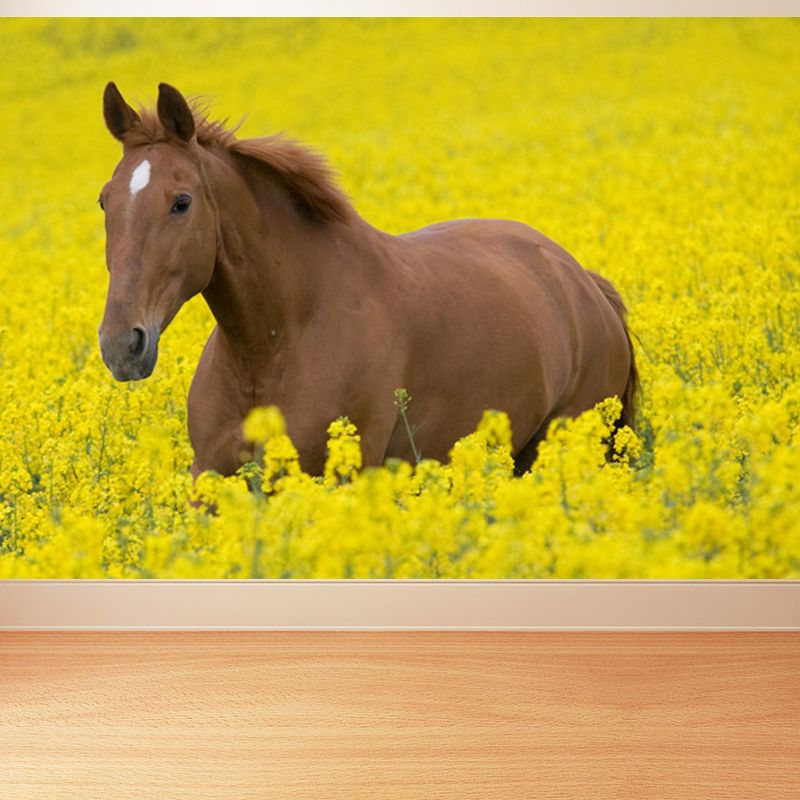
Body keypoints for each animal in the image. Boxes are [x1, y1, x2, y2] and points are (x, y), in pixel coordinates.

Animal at [98, 82, 638, 478]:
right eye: (105, 200)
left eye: (181, 202)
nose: (122, 345)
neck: (275, 344)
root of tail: (583, 282)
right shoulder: (209, 477)